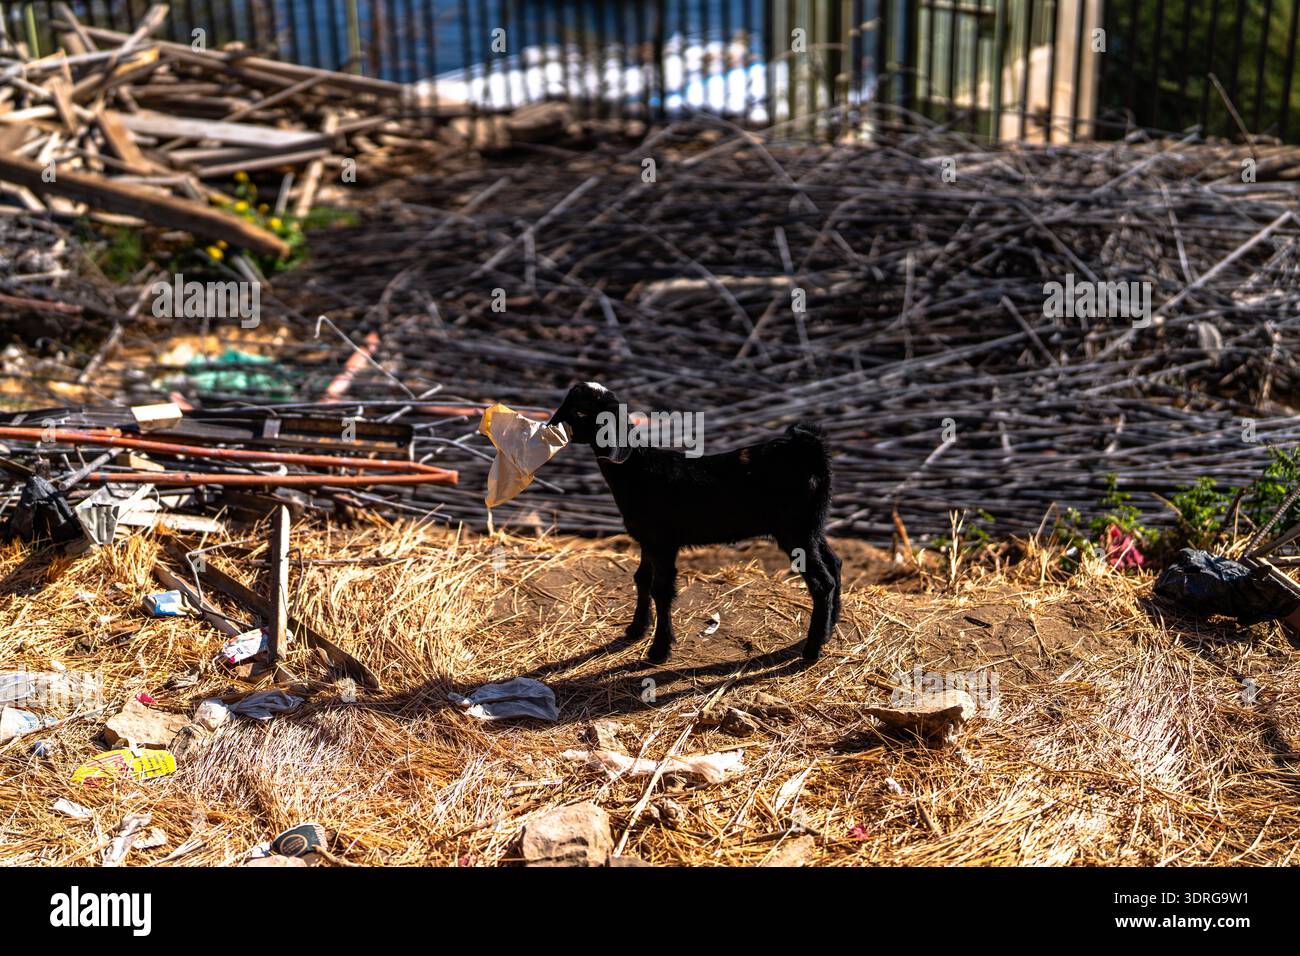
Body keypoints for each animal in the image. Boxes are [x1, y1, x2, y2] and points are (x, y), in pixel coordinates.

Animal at [548, 382, 841, 665]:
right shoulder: (647, 539)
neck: (635, 469)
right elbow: (642, 578)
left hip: (795, 530)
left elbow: (661, 589)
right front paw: (636, 629)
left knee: (821, 582)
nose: (551, 426)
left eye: (580, 412)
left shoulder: (663, 542)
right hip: (812, 525)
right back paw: (829, 628)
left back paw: (812, 649)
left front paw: (659, 649)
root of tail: (810, 448)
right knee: (834, 563)